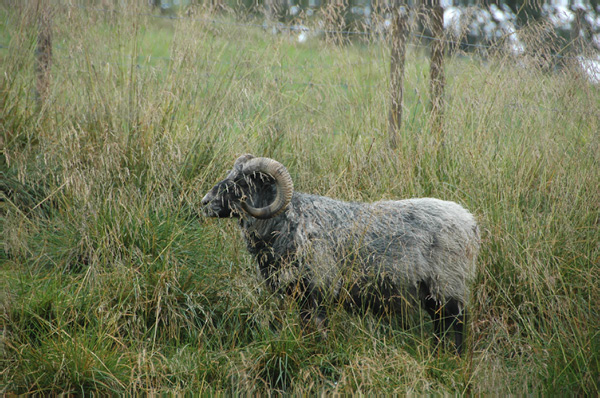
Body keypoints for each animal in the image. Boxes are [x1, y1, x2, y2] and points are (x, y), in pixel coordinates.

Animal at [200, 154, 478, 352]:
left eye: (242, 182)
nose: (204, 202)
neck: (291, 222)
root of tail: (469, 222)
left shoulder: (319, 287)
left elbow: (317, 327)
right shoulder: (300, 293)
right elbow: (306, 327)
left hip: (448, 282)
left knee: (456, 323)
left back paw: (454, 359)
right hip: (432, 290)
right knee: (440, 323)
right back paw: (437, 354)